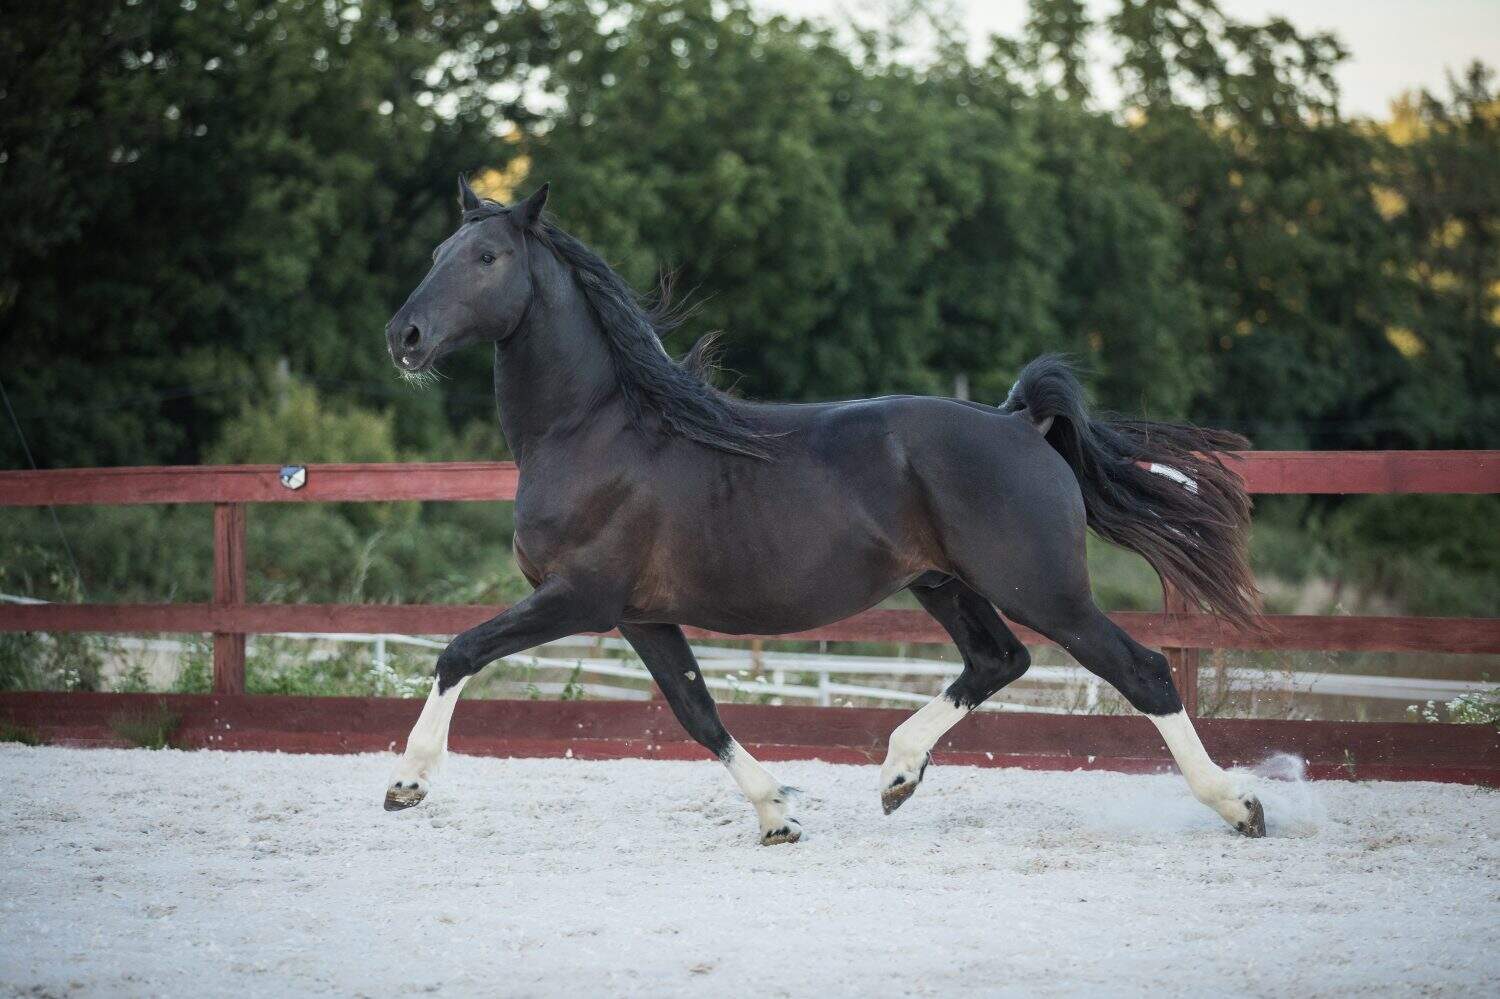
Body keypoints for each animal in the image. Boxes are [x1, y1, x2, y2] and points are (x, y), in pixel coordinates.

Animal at [381, 177, 1267, 843]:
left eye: (487, 257)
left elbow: (459, 651)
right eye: (435, 254)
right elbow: (698, 710)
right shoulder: (641, 614)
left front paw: (407, 781)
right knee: (998, 661)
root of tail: (1021, 422)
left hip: (1046, 591)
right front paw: (778, 813)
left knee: (1142, 671)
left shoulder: (580, 598)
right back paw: (898, 773)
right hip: (945, 583)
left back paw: (1240, 804)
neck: (593, 428)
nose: (405, 337)